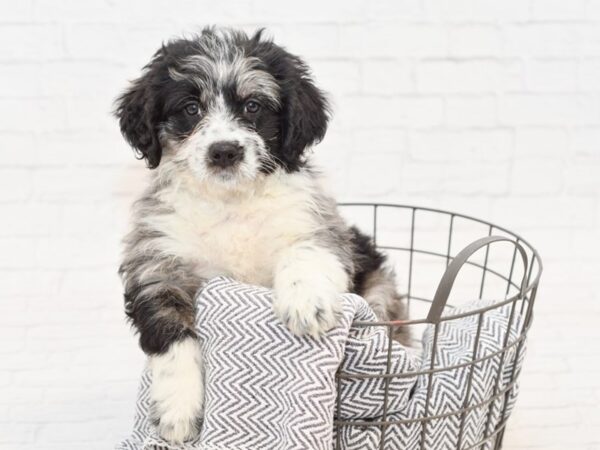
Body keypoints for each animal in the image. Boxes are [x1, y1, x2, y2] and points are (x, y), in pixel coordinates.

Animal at [113, 27, 408, 442]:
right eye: (191, 108)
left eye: (253, 106)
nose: (224, 151)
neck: (231, 203)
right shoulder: (155, 263)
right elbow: (170, 331)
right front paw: (178, 408)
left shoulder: (320, 228)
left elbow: (305, 254)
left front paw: (305, 302)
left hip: (380, 295)